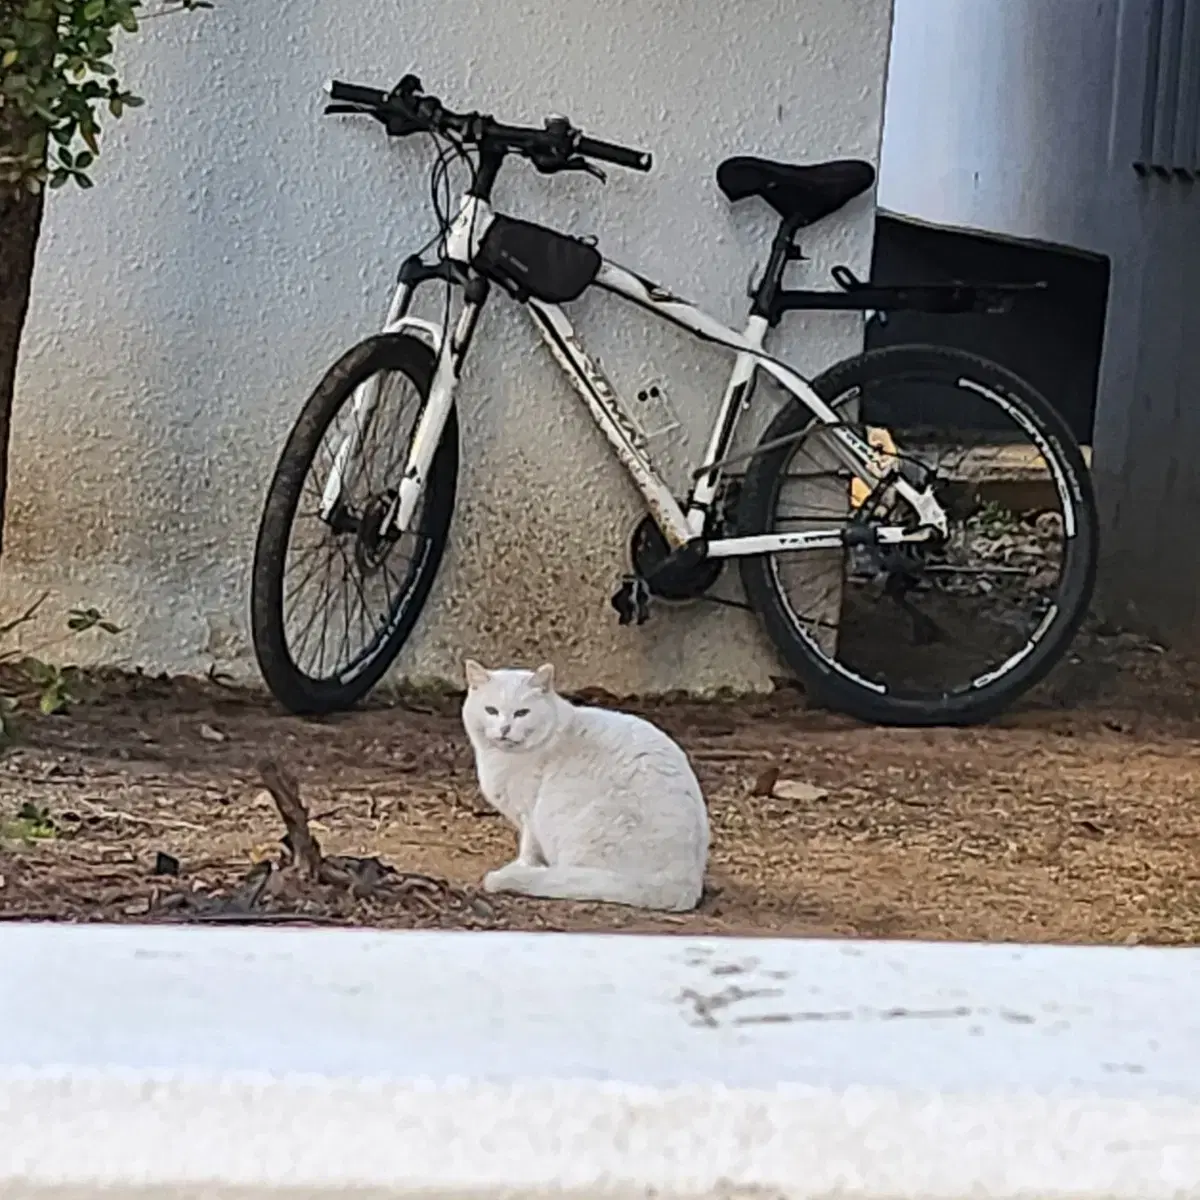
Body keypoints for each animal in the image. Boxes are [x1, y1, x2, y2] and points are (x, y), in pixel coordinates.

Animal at [456, 667, 700, 907]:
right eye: (491, 710)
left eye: (522, 713)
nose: (505, 728)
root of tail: (682, 887)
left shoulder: (530, 815)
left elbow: (528, 848)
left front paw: (523, 866)